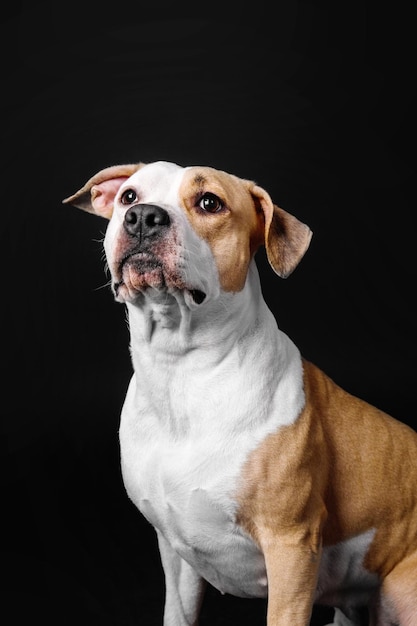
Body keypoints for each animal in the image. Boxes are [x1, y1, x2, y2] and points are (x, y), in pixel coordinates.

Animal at [63, 162, 414, 624]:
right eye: (129, 197)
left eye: (210, 202)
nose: (143, 218)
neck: (182, 371)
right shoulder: (175, 557)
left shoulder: (291, 549)